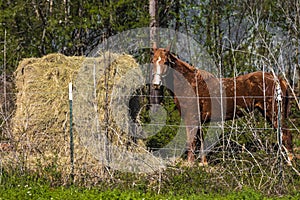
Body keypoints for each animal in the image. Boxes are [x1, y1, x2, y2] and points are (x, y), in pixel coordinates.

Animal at [150, 45, 292, 166]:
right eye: (152, 61)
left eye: (166, 62)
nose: (156, 84)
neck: (190, 84)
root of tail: (279, 79)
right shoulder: (199, 121)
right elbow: (200, 142)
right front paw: (203, 164)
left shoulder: (191, 119)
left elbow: (192, 142)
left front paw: (190, 164)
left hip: (274, 113)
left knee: (286, 135)